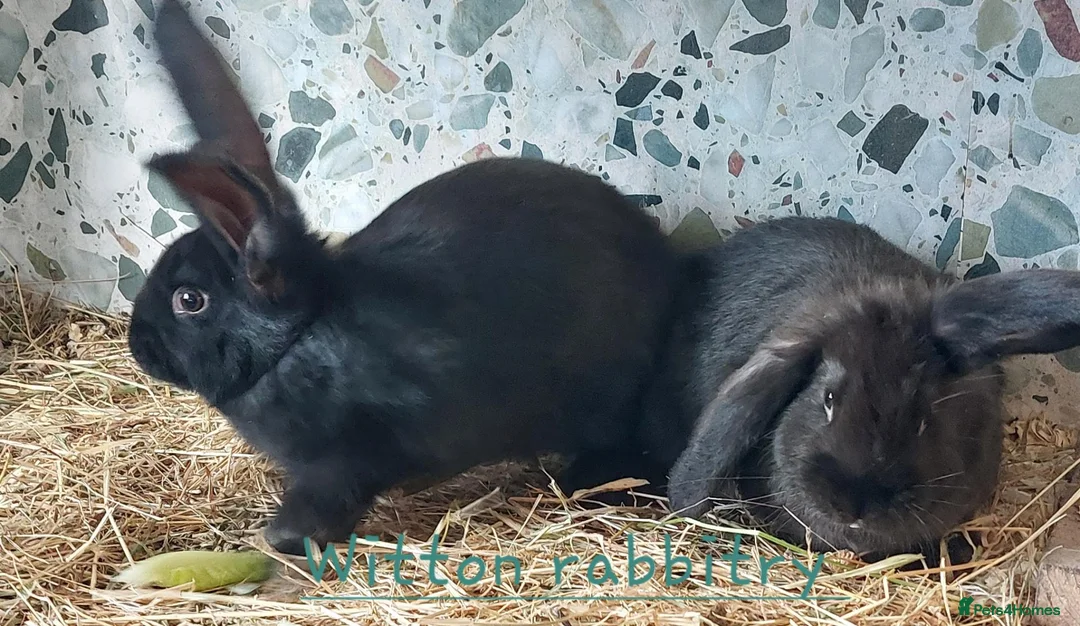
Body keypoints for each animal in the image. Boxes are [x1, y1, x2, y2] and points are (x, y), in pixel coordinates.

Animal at [127, 0, 677, 556]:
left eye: (189, 300)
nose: (138, 346)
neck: (300, 337)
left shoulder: (350, 456)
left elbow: (325, 501)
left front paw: (276, 538)